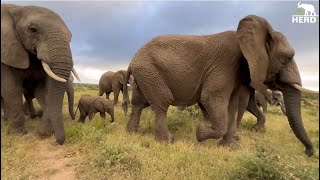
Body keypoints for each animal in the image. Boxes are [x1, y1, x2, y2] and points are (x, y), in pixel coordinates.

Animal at [0, 3, 79, 145]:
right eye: (33, 30)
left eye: (70, 37)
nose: (59, 141)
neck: (18, 8)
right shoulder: (7, 50)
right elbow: (11, 88)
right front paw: (18, 134)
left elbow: (42, 91)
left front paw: (45, 131)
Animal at [122, 14, 318, 156]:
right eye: (288, 57)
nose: (309, 152)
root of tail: (132, 59)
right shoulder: (225, 64)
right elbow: (212, 99)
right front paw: (200, 132)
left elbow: (232, 105)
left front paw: (230, 147)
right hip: (150, 71)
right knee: (162, 102)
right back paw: (168, 140)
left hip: (145, 74)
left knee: (139, 103)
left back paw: (133, 133)